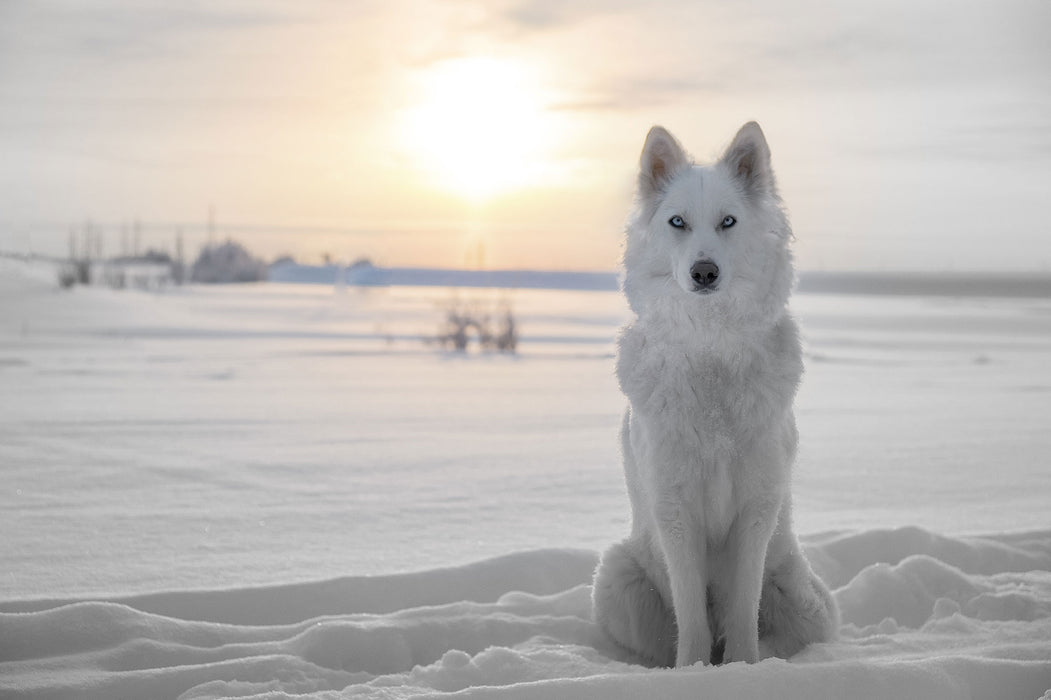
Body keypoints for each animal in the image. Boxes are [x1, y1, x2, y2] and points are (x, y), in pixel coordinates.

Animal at [592, 121, 836, 664]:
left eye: (728, 221)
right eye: (677, 222)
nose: (704, 272)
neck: (711, 349)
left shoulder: (756, 509)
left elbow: (744, 607)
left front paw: (743, 666)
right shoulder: (675, 510)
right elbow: (691, 614)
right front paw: (695, 669)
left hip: (805, 600)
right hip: (617, 578)